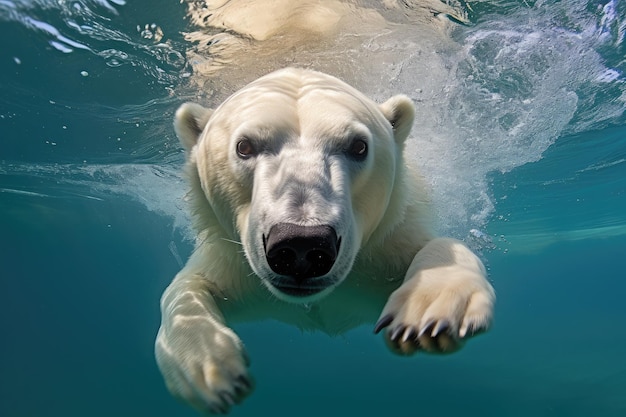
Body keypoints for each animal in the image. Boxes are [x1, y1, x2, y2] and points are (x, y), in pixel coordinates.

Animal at [155, 68, 492, 412]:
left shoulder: (382, 252)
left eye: (358, 146)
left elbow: (440, 246)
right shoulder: (235, 263)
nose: (302, 245)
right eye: (244, 146)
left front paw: (426, 315)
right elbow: (187, 286)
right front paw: (211, 369)